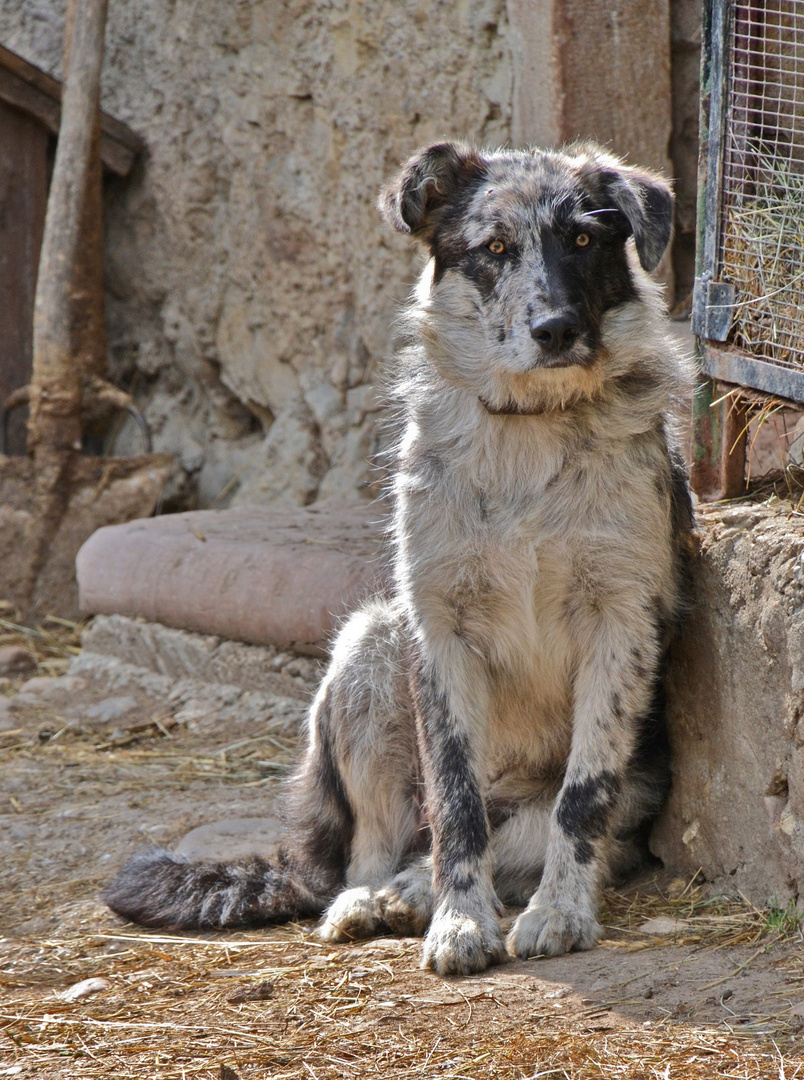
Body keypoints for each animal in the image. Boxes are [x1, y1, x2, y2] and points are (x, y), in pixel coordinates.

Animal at [103, 139, 695, 976]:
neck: (529, 438)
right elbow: (454, 801)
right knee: (383, 847)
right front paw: (460, 922)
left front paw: (561, 912)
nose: (554, 328)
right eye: (494, 250)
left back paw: (417, 895)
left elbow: (582, 799)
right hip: (373, 642)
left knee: (518, 835)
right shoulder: (439, 630)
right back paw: (376, 898)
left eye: (583, 239)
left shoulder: (621, 625)